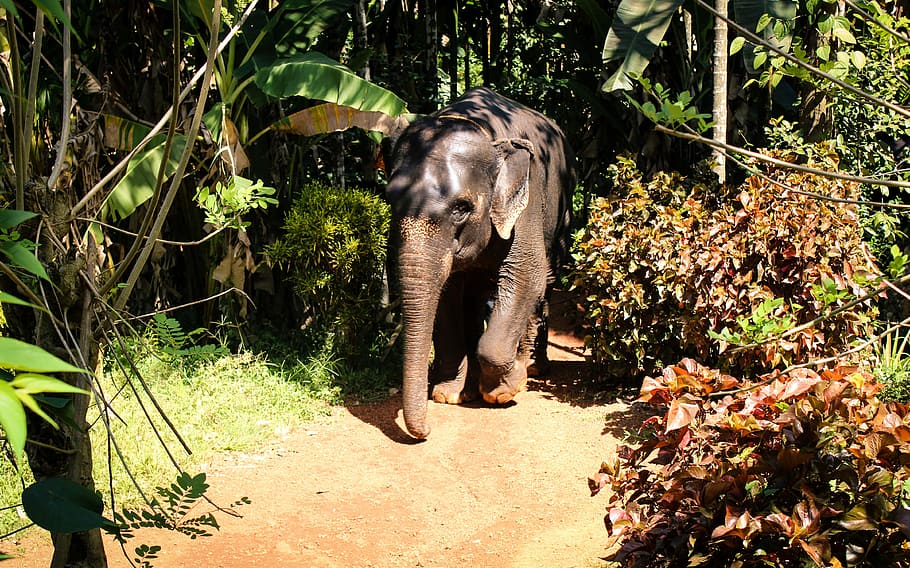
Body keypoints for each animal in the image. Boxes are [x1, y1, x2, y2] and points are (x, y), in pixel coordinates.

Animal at [385, 87, 576, 440]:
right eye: (390, 200)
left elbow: (526, 275)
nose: (426, 432)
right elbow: (446, 294)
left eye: (462, 208)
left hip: (563, 209)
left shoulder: (526, 205)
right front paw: (449, 395)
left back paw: (534, 366)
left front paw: (504, 390)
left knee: (547, 281)